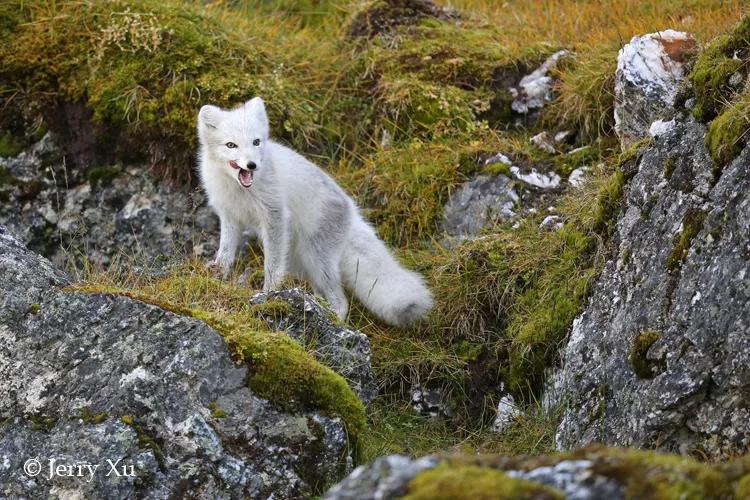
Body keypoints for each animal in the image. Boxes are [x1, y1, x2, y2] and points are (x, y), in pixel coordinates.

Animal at [197, 97, 434, 328]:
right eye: (231, 145)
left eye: (256, 142)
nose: (252, 165)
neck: (239, 189)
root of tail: (352, 210)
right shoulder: (230, 217)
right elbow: (225, 251)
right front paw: (218, 274)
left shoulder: (275, 215)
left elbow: (272, 265)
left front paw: (267, 294)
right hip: (300, 261)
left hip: (317, 258)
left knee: (342, 302)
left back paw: (333, 321)